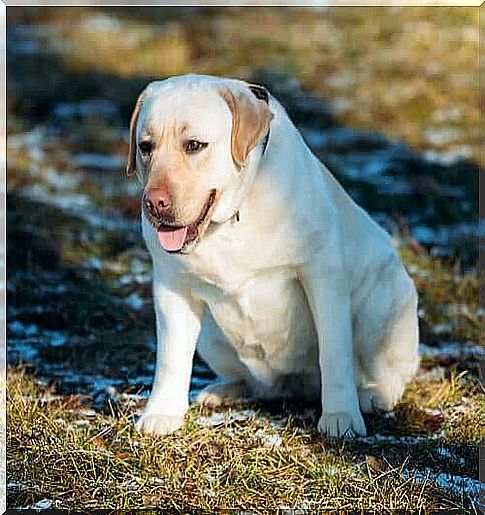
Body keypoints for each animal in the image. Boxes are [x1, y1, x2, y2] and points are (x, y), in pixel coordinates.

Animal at [126, 74, 418, 438]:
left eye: (194, 145)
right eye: (145, 146)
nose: (153, 203)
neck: (233, 217)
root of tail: (291, 386)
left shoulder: (322, 275)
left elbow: (335, 353)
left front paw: (341, 416)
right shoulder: (171, 286)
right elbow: (171, 357)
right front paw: (162, 413)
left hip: (386, 302)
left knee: (389, 374)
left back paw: (374, 396)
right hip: (211, 335)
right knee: (248, 381)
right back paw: (223, 390)